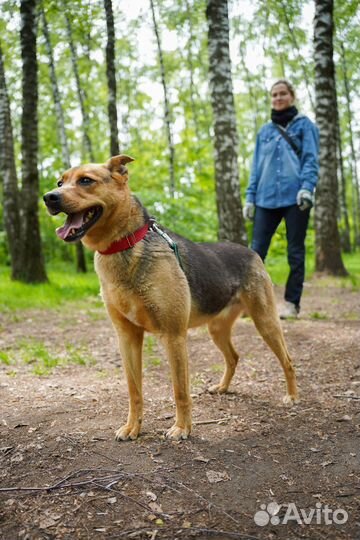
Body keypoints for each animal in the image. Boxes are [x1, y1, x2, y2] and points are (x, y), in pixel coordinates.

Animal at [43, 154, 298, 440]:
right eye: (60, 182)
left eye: (86, 181)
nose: (48, 197)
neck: (125, 245)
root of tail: (251, 252)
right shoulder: (127, 337)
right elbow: (134, 391)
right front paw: (133, 427)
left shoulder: (174, 336)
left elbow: (180, 391)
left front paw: (182, 428)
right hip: (217, 329)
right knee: (233, 357)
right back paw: (222, 387)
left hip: (265, 322)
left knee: (288, 361)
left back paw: (292, 396)